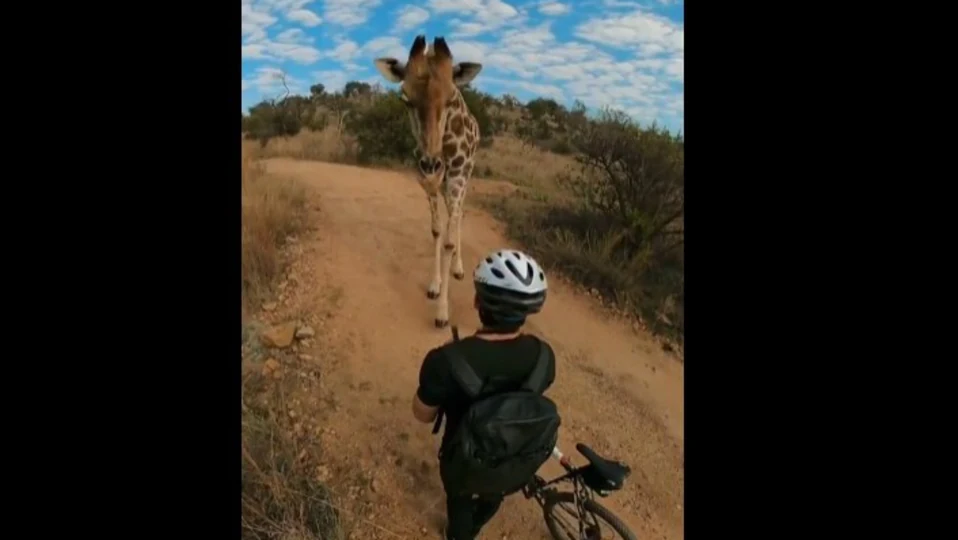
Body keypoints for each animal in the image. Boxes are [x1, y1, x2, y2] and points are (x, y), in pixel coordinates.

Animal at [374, 35, 483, 329]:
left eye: (450, 97)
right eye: (405, 99)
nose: (431, 164)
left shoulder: (456, 178)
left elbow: (448, 239)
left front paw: (443, 314)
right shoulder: (427, 182)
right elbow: (436, 230)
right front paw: (435, 286)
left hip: (465, 175)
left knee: (460, 215)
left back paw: (458, 267)